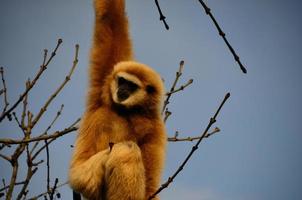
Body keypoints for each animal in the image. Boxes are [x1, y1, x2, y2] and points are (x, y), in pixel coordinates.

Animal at [68, 0, 166, 199]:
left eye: (131, 85)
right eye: (122, 80)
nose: (121, 89)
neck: (126, 111)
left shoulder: (156, 129)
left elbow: (150, 184)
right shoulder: (105, 83)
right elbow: (110, 17)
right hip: (83, 176)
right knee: (126, 149)